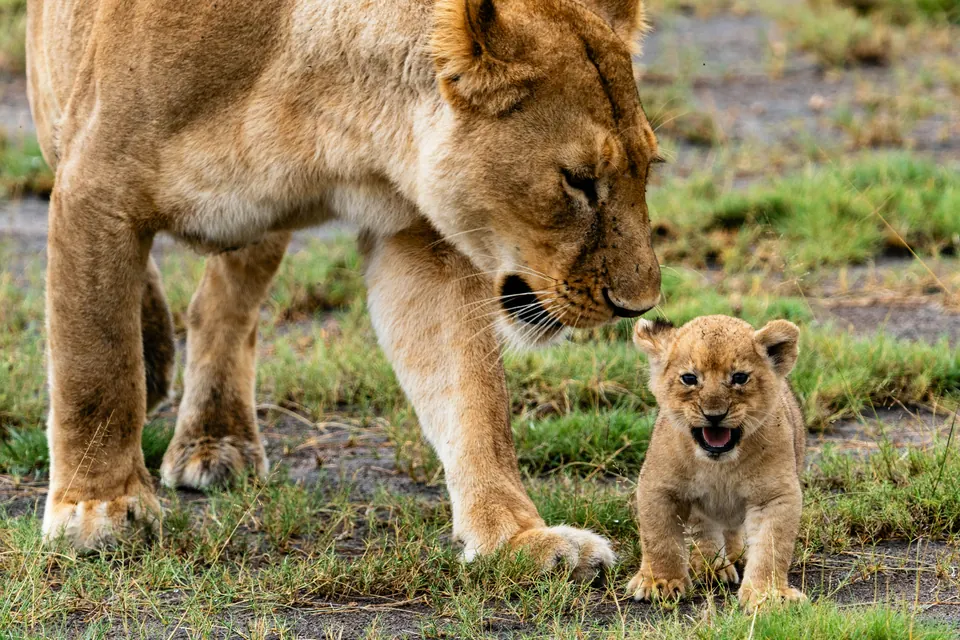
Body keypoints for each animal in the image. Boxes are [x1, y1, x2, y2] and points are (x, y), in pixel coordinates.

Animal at [26, 0, 662, 576]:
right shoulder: (95, 187)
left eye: (648, 167)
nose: (639, 305)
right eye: (578, 181)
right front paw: (99, 509)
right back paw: (156, 357)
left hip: (257, 226)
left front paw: (519, 539)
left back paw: (216, 438)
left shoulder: (417, 235)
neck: (323, 112)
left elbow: (474, 401)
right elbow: (96, 363)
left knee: (222, 307)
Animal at [627, 316, 806, 610]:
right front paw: (661, 583)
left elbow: (771, 545)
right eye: (689, 378)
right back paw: (711, 566)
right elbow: (659, 538)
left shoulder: (774, 495)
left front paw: (767, 594)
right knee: (704, 530)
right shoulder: (658, 487)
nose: (714, 415)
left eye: (739, 377)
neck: (719, 465)